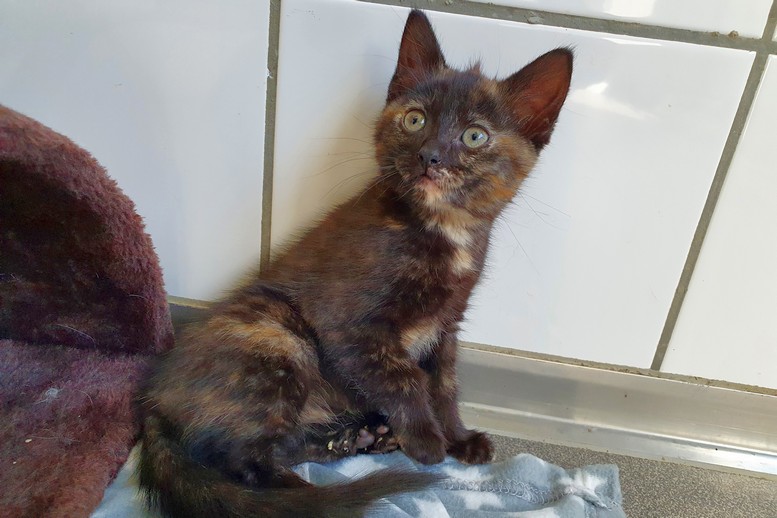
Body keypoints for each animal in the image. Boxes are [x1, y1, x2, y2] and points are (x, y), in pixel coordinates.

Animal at [137, 9, 572, 518]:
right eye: (415, 119)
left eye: (475, 136)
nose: (430, 155)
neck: (443, 229)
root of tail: (154, 402)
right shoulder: (349, 325)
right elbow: (404, 377)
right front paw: (428, 443)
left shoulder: (446, 324)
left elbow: (444, 383)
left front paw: (458, 438)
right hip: (279, 337)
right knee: (239, 458)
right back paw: (306, 494)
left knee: (279, 444)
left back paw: (355, 439)